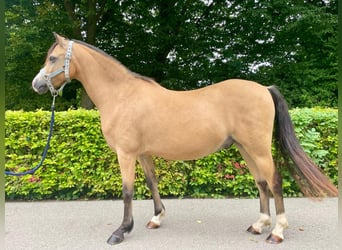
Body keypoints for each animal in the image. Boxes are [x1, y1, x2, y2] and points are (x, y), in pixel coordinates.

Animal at [31, 32, 336, 244]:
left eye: (53, 58)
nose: (36, 85)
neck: (122, 95)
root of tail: (264, 88)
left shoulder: (126, 154)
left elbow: (127, 191)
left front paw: (121, 231)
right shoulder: (142, 153)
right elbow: (152, 183)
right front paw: (156, 218)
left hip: (258, 148)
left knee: (274, 181)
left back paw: (277, 232)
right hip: (245, 148)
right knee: (261, 183)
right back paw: (259, 225)